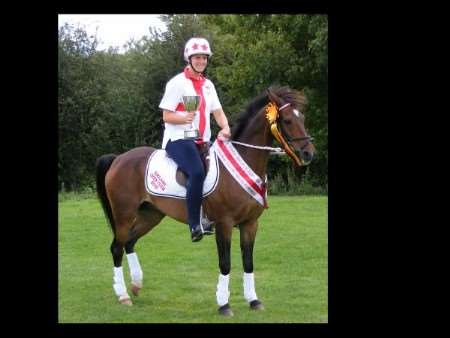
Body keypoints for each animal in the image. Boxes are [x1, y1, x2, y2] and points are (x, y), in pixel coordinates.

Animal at [95, 85, 314, 316]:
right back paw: (123, 295)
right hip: (124, 215)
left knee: (129, 242)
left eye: (302, 118)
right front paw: (224, 304)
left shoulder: (250, 224)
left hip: (151, 214)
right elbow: (225, 263)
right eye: (287, 120)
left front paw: (254, 301)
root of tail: (118, 158)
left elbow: (248, 262)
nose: (308, 153)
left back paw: (136, 285)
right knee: (117, 247)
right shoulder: (224, 224)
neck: (244, 159)